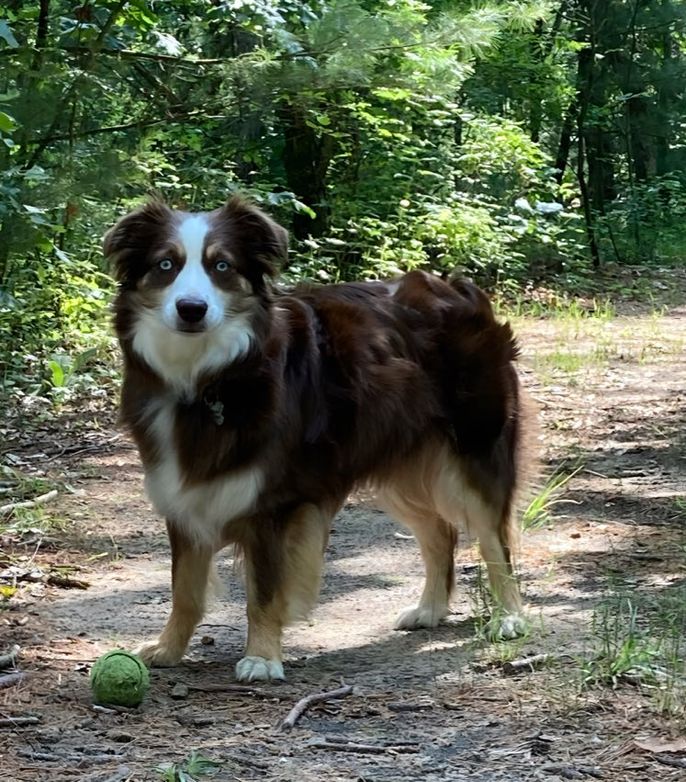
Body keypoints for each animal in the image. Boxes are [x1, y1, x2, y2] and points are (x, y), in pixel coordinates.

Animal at [105, 196, 528, 682]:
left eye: (222, 266)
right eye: (166, 265)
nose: (191, 308)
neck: (210, 378)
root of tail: (459, 287)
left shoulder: (276, 505)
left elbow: (264, 590)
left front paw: (262, 657)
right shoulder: (183, 493)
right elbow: (185, 589)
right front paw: (168, 648)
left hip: (475, 453)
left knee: (495, 540)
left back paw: (509, 616)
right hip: (398, 464)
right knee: (440, 532)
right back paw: (430, 609)